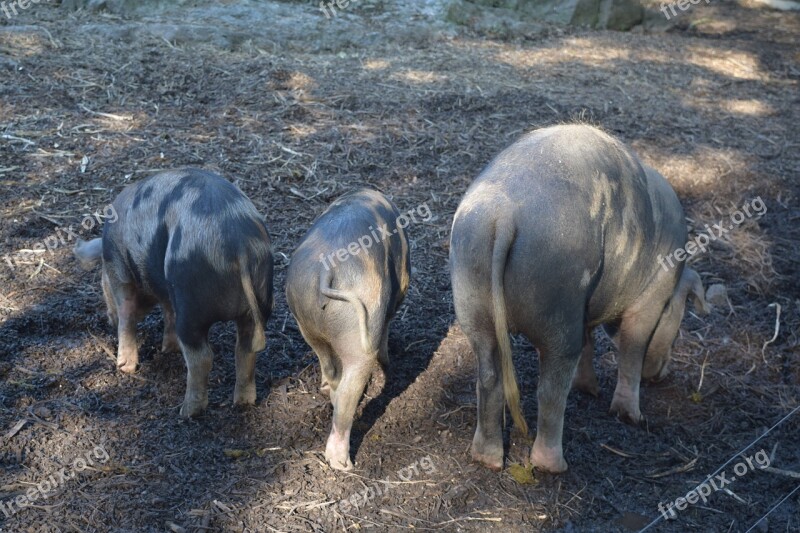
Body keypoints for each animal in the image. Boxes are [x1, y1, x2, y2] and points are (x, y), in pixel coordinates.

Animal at [75, 168, 276, 418]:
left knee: (202, 357)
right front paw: (168, 349)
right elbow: (168, 312)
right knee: (245, 349)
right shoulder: (168, 295)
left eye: (102, 283)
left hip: (191, 304)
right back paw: (243, 403)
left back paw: (186, 412)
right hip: (261, 295)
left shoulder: (121, 275)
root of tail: (238, 245)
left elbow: (127, 317)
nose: (107, 319)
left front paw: (124, 368)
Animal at [288, 190, 410, 470]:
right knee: (349, 387)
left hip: (306, 319)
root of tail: (327, 270)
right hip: (361, 323)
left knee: (331, 369)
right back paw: (343, 465)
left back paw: (327, 391)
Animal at [450, 125, 708, 474]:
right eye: (680, 319)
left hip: (470, 290)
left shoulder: (584, 310)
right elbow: (633, 349)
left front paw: (588, 389)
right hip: (558, 303)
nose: (662, 374)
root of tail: (503, 213)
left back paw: (488, 460)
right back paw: (556, 466)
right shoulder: (650, 298)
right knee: (550, 389)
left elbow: (590, 340)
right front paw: (632, 417)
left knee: (489, 376)